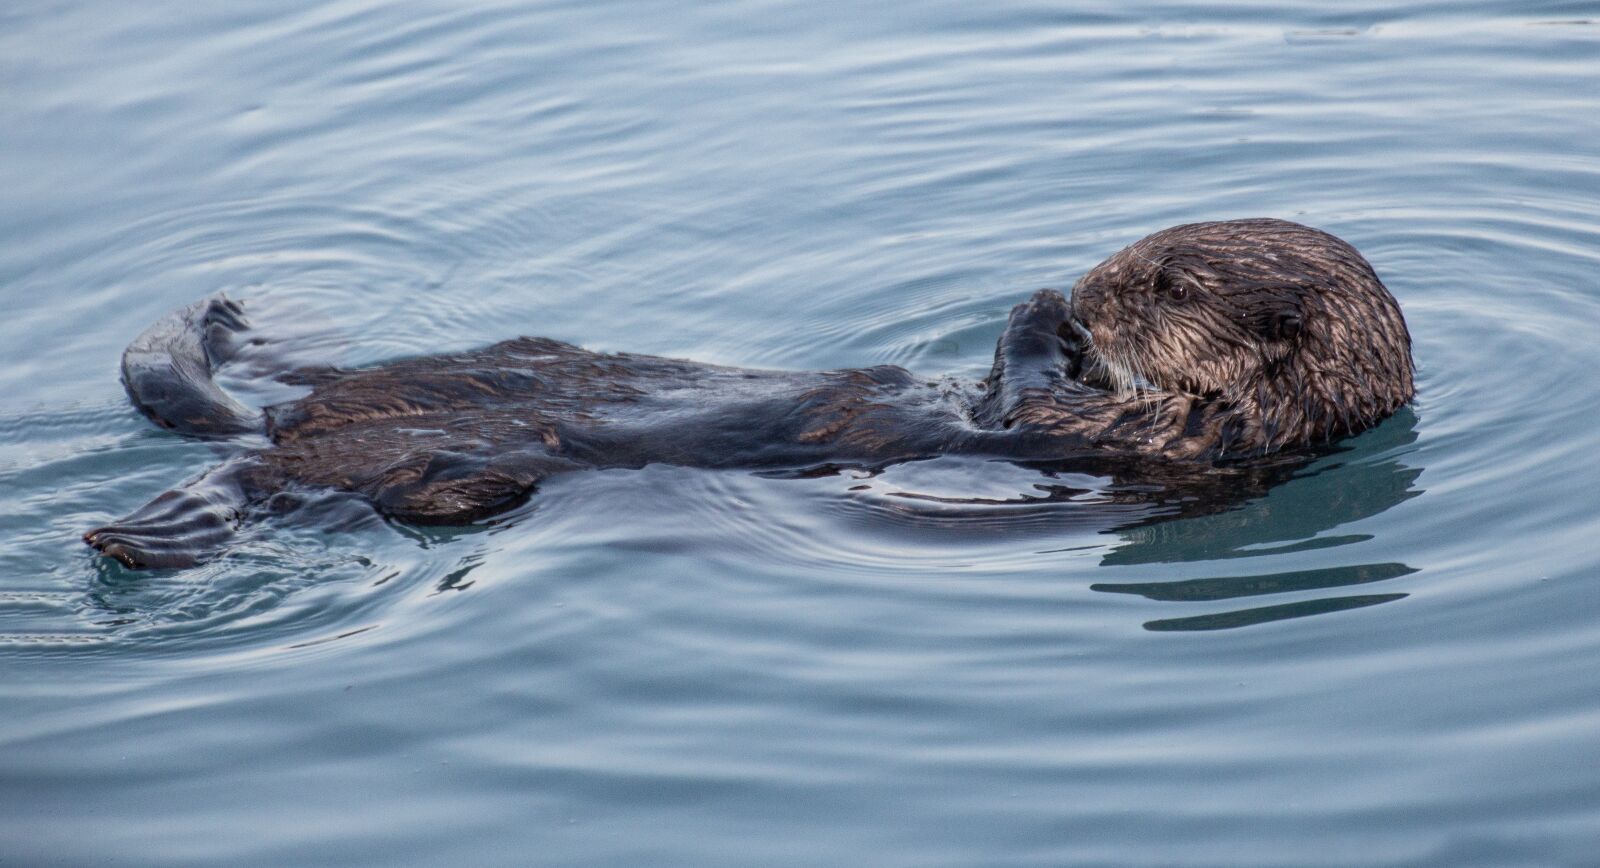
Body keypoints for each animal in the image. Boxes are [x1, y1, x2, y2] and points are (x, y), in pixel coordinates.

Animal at [84, 219, 1414, 569]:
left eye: (1167, 280)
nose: (1090, 287)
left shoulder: (1157, 439)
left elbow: (1021, 396)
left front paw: (1046, 317)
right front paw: (1050, 305)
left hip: (409, 471)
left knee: (276, 481)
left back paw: (136, 537)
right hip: (406, 376)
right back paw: (236, 324)